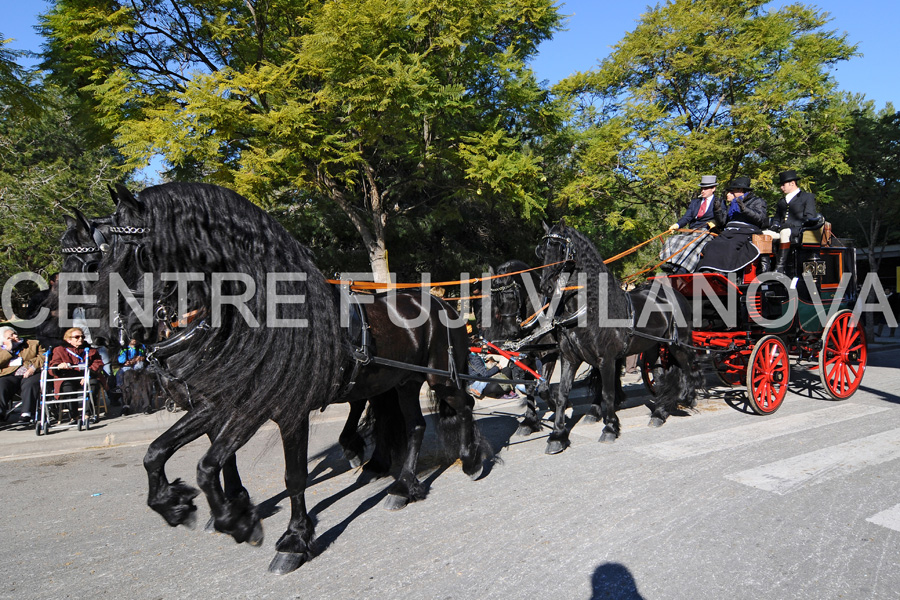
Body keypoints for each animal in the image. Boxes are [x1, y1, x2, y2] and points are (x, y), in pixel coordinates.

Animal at [82, 184, 492, 576]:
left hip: (439, 379)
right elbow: (166, 454)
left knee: (464, 404)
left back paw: (470, 461)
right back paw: (404, 487)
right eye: (99, 256)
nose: (100, 333)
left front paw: (289, 540)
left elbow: (288, 476)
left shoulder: (285, 411)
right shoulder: (222, 404)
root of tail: (442, 302)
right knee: (415, 426)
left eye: (134, 252)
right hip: (402, 382)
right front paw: (191, 508)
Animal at [536, 219, 700, 450]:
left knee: (687, 366)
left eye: (561, 249)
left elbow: (608, 393)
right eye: (541, 252)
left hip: (679, 344)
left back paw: (688, 397)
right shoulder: (569, 358)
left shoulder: (606, 359)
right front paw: (558, 435)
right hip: (652, 348)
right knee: (660, 375)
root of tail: (675, 294)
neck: (589, 308)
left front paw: (610, 428)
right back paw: (659, 412)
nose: (546, 287)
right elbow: (562, 394)